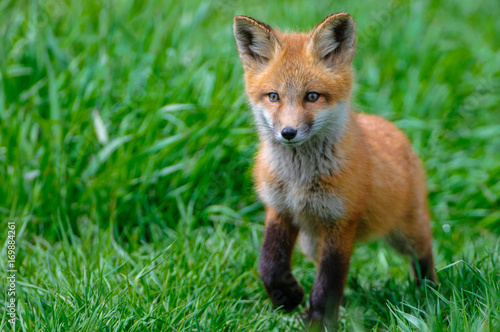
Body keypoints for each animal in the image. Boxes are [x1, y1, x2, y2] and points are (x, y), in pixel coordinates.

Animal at [232, 12, 436, 326]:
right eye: (273, 96)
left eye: (312, 96)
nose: (288, 133)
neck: (299, 180)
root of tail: (391, 129)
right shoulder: (279, 209)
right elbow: (269, 264)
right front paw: (288, 297)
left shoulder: (340, 221)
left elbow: (328, 281)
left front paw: (318, 322)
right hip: (310, 242)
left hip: (404, 232)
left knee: (424, 251)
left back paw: (430, 293)